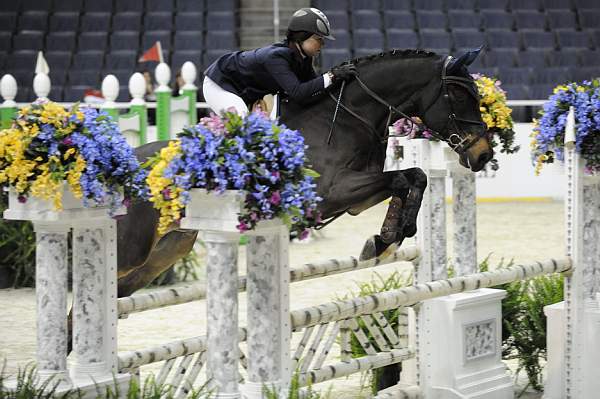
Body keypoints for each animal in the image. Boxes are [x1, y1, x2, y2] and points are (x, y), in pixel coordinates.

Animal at [112, 48, 492, 298]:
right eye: (459, 95)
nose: (483, 154)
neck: (346, 117)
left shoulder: (355, 199)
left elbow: (414, 178)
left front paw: (387, 238)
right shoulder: (330, 193)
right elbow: (404, 178)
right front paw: (388, 238)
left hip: (167, 250)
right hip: (133, 249)